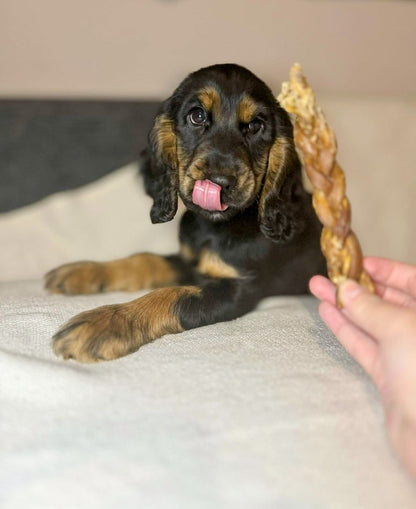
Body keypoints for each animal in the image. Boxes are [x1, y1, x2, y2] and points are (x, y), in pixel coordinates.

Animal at [44, 63, 324, 362]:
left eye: (255, 126)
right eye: (197, 116)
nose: (220, 181)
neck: (213, 227)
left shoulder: (237, 288)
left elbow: (171, 296)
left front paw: (107, 321)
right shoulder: (190, 262)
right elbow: (146, 259)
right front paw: (84, 272)